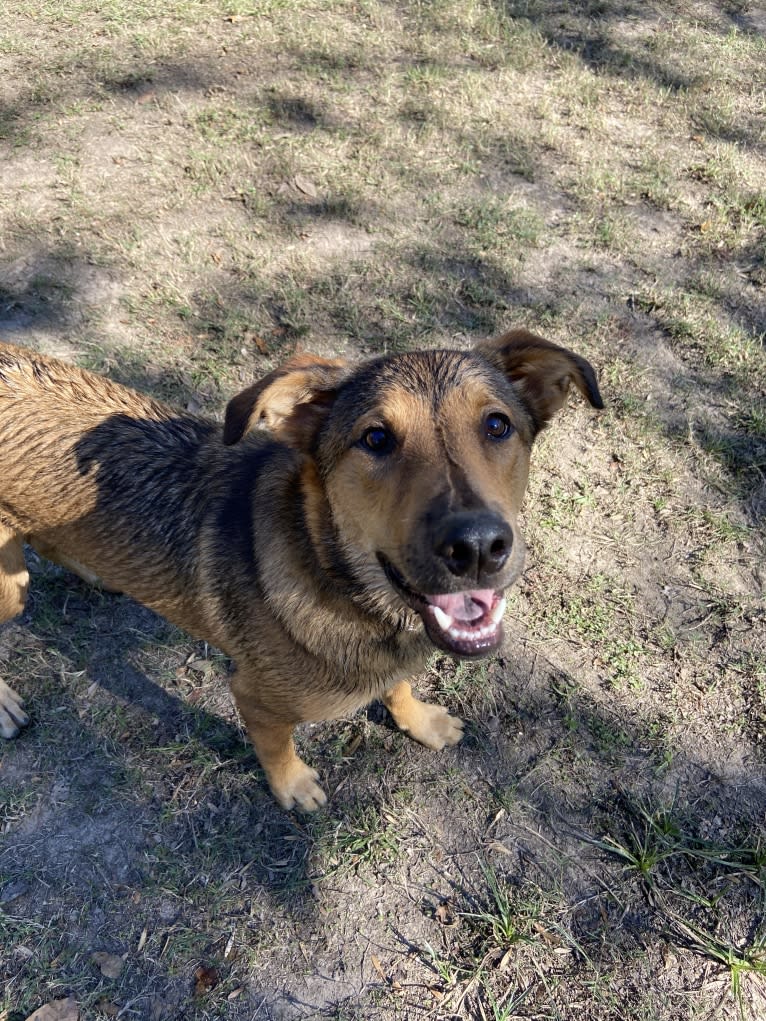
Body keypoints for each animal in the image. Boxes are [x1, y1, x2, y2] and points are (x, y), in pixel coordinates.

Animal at [0, 330, 604, 808]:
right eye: (375, 438)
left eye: (497, 426)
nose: (477, 547)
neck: (329, 570)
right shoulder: (254, 697)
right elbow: (275, 746)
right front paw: (293, 788)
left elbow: (399, 686)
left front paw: (421, 721)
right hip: (11, 588)